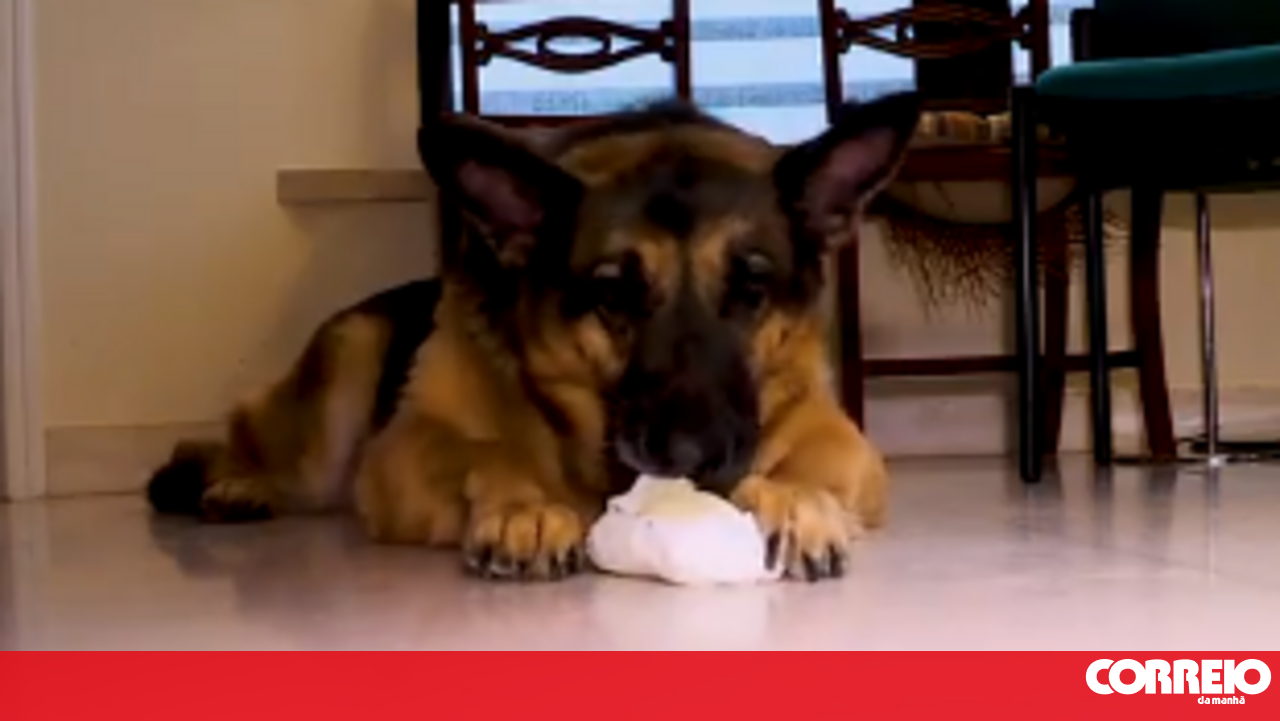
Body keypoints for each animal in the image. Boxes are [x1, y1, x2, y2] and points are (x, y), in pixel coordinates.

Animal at [146, 92, 921, 583]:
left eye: (752, 289)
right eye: (613, 292)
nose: (690, 457)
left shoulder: (841, 438)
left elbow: (814, 463)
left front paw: (793, 501)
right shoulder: (405, 445)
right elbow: (488, 451)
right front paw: (526, 506)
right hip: (342, 376)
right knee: (241, 443)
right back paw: (234, 483)